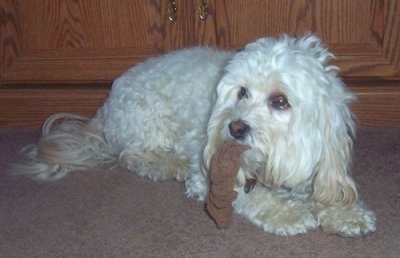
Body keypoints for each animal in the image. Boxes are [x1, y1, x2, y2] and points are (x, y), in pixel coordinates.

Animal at [10, 35, 376, 237]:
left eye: (280, 101)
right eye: (242, 92)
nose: (235, 127)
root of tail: (107, 102)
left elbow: (329, 191)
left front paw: (347, 214)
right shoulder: (210, 175)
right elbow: (252, 196)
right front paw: (289, 213)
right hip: (149, 120)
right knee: (133, 156)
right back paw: (171, 164)